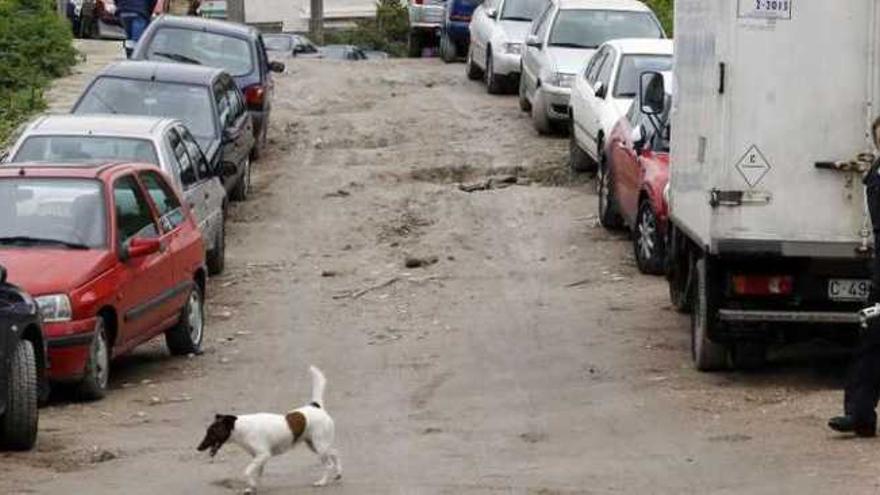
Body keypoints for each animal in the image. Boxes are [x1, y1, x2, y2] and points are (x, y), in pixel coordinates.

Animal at [198, 364, 342, 492]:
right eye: (207, 432)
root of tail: (316, 406)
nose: (198, 448)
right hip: (315, 444)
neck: (242, 428)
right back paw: (338, 473)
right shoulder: (258, 457)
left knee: (328, 464)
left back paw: (322, 482)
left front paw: (251, 484)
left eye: (212, 432)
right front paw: (253, 487)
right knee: (334, 452)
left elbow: (247, 471)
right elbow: (258, 474)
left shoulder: (263, 455)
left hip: (319, 445)